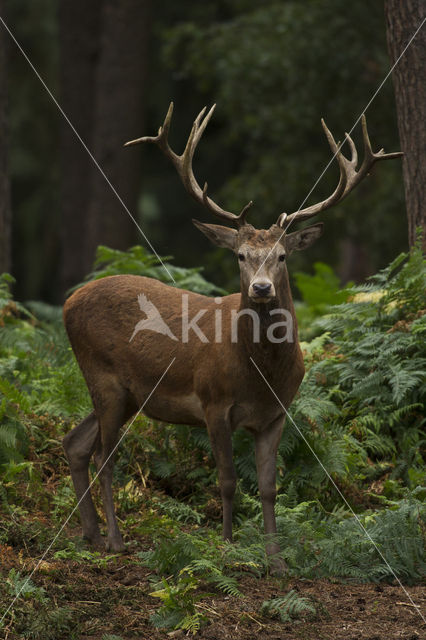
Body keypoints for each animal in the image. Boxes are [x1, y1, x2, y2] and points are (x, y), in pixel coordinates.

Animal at [61, 102, 402, 572]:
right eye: (240, 255)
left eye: (282, 256)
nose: (261, 288)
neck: (260, 372)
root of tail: (68, 302)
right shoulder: (213, 402)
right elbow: (226, 481)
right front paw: (226, 549)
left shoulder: (277, 413)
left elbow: (269, 487)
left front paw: (276, 561)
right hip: (103, 375)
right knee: (103, 457)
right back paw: (114, 539)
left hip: (128, 394)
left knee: (75, 443)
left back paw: (90, 534)